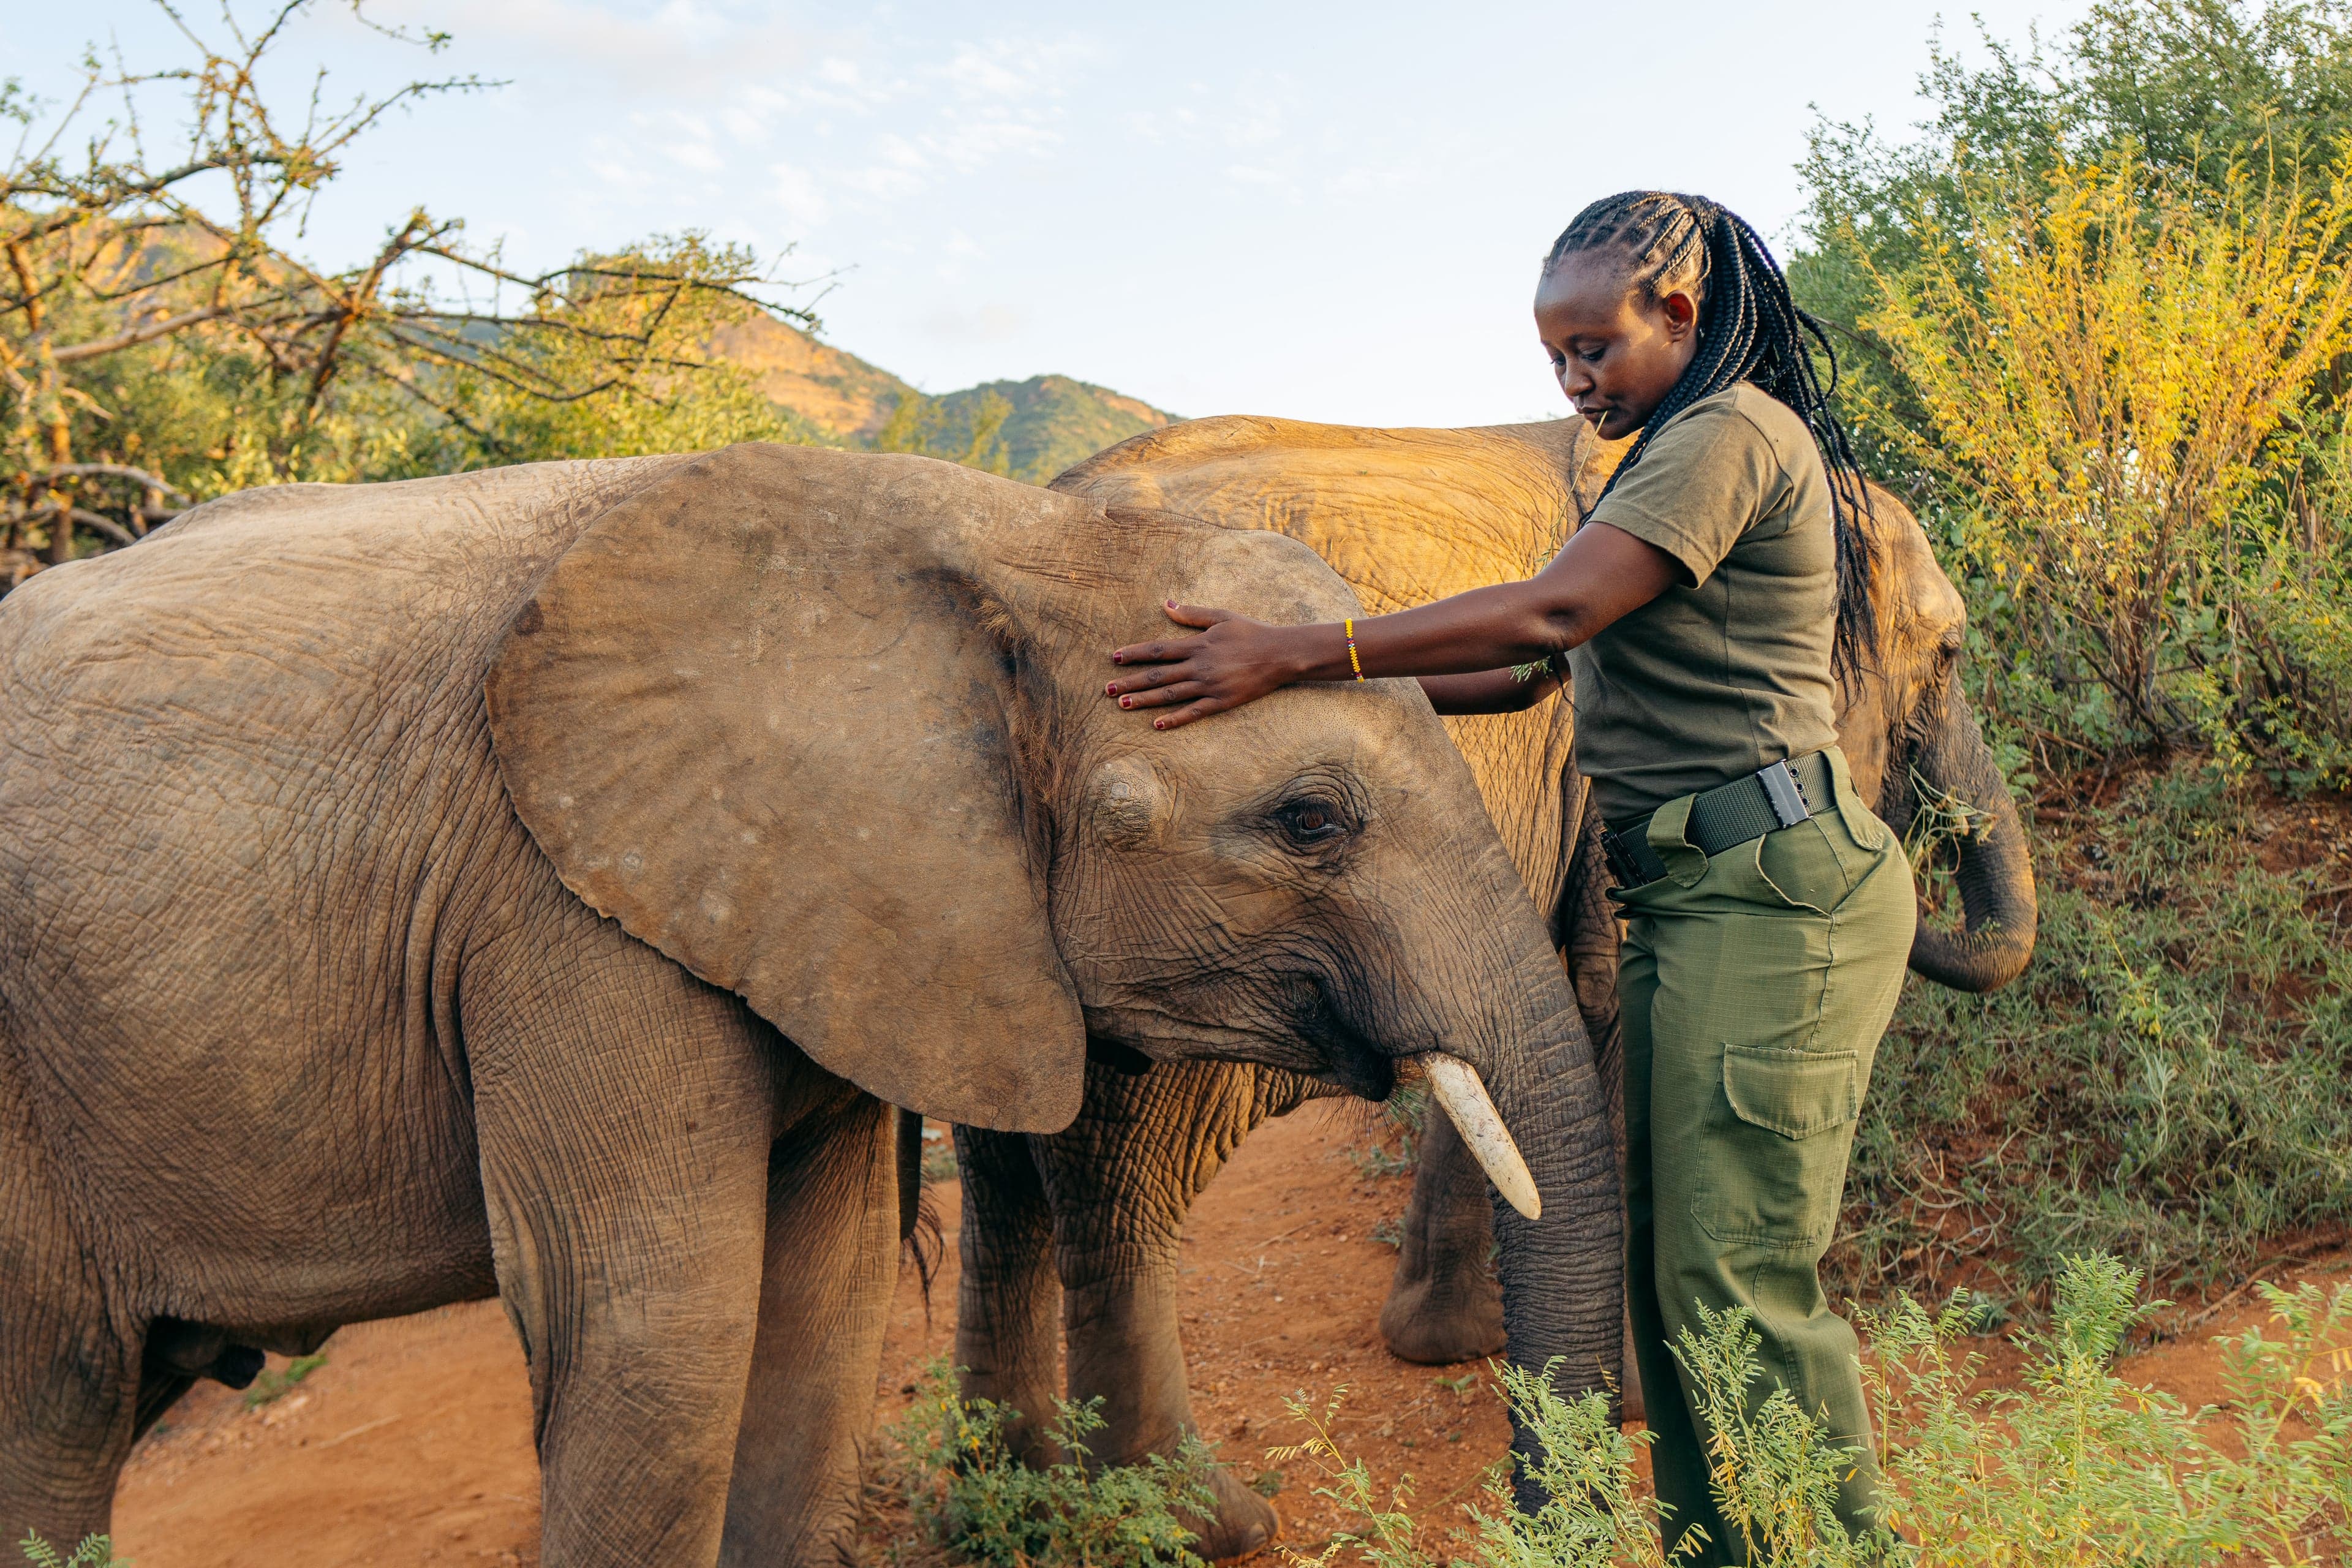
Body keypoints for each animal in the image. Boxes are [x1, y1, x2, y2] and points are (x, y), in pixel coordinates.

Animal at [0, 443, 1624, 1567]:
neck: (1004, 541)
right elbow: (655, 1329)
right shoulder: (566, 911)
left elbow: (815, 1306)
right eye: (1308, 820)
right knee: (53, 1409)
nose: (1546, 1501)